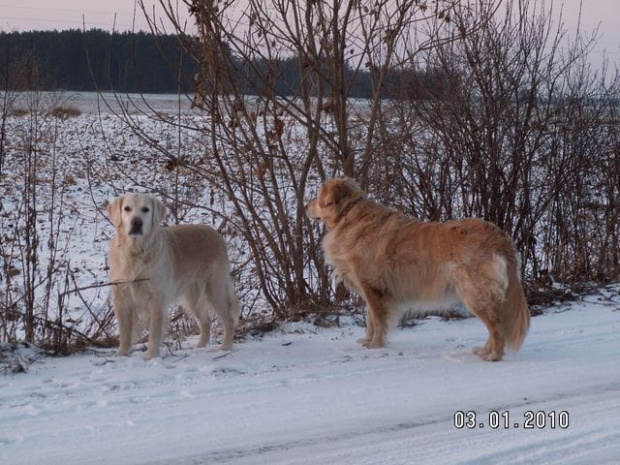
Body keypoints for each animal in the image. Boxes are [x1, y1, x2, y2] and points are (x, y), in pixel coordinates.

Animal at [106, 192, 237, 358]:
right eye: (127, 209)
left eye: (145, 209)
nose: (136, 222)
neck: (135, 252)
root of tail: (217, 234)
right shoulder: (121, 298)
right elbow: (124, 332)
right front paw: (122, 354)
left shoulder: (157, 299)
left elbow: (154, 332)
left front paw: (151, 356)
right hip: (192, 297)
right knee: (206, 321)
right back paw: (200, 347)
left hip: (215, 289)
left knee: (229, 320)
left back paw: (226, 346)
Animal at [308, 176, 532, 360]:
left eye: (318, 195)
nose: (305, 206)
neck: (349, 217)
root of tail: (500, 237)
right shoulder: (370, 290)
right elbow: (370, 319)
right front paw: (367, 340)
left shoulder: (372, 287)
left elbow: (377, 320)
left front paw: (375, 344)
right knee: (495, 325)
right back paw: (485, 350)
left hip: (474, 291)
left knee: (496, 326)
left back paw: (493, 355)